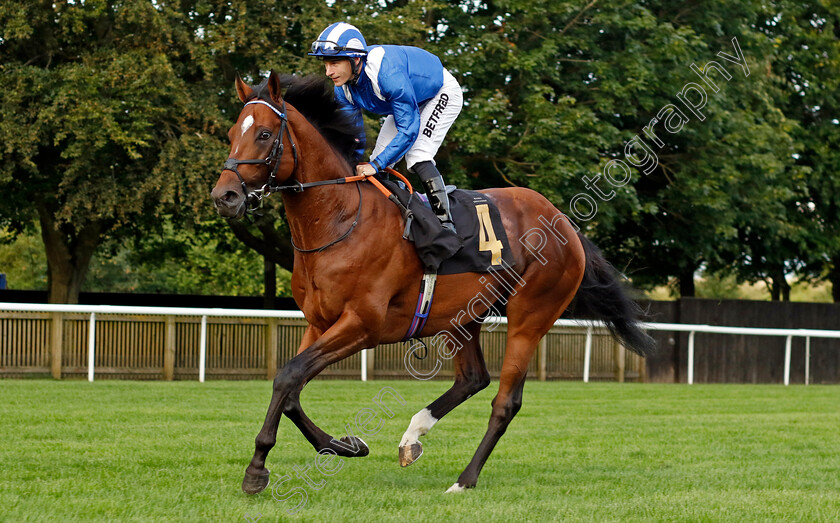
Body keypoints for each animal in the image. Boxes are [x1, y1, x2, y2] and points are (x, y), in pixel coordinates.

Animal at [212, 70, 656, 496]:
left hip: (531, 316)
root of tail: (563, 221)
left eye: (264, 134)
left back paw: (464, 480)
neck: (340, 220)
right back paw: (413, 436)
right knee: (473, 378)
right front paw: (345, 445)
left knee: (505, 401)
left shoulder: (362, 324)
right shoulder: (319, 323)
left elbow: (287, 377)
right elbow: (291, 390)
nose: (225, 196)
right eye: (232, 134)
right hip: (463, 317)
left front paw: (256, 470)